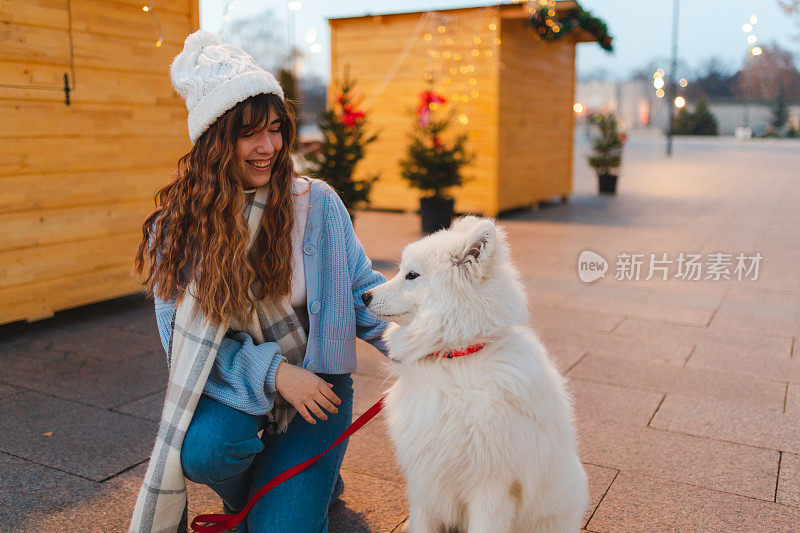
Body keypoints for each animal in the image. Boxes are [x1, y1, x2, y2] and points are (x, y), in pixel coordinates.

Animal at [362, 214, 588, 528]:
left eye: (412, 275)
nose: (364, 295)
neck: (454, 359)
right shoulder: (424, 477)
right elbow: (422, 523)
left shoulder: (492, 485)